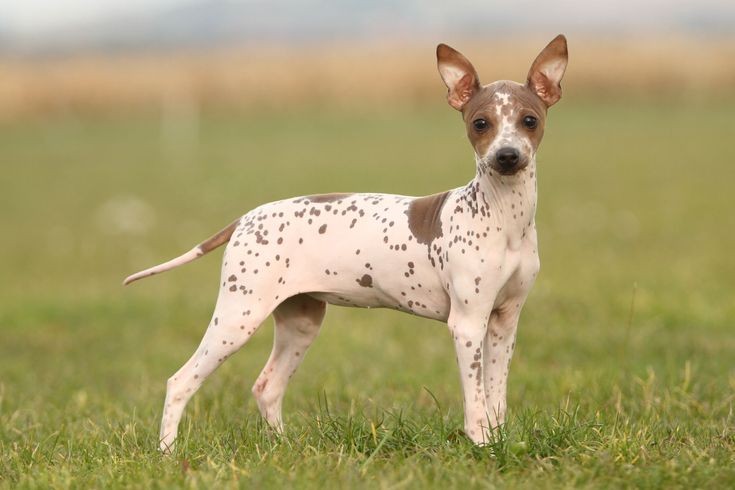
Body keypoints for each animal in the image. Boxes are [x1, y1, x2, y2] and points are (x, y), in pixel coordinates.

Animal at [125, 36, 568, 454]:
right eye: (480, 124)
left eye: (529, 120)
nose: (506, 156)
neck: (503, 217)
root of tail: (247, 218)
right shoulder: (467, 324)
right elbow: (475, 403)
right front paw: (480, 448)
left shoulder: (503, 323)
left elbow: (495, 399)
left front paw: (499, 442)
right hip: (238, 317)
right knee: (180, 381)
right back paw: (167, 454)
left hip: (300, 322)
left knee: (267, 386)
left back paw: (283, 448)